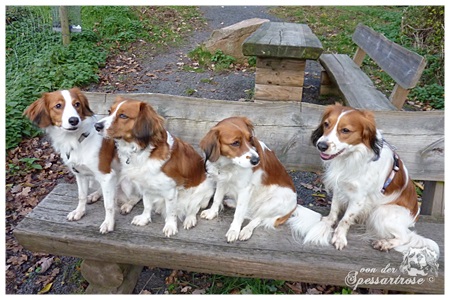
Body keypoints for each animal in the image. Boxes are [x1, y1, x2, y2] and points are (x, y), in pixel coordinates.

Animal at [22, 88, 121, 233]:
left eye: (77, 104)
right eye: (58, 106)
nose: (74, 120)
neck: (76, 140)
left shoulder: (106, 175)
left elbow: (108, 205)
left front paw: (108, 222)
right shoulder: (80, 174)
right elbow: (81, 196)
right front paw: (79, 212)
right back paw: (95, 194)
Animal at [94, 96, 214, 237]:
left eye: (123, 116)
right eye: (109, 111)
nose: (96, 126)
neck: (142, 151)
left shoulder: (171, 189)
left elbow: (171, 211)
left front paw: (170, 226)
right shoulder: (146, 185)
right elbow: (147, 204)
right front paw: (144, 219)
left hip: (203, 191)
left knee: (193, 208)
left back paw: (189, 220)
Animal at [288, 103, 440, 255]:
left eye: (345, 130)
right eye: (326, 124)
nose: (321, 145)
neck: (352, 156)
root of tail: (413, 217)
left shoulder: (358, 197)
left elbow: (345, 220)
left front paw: (339, 237)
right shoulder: (339, 188)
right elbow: (334, 210)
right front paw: (327, 223)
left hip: (381, 213)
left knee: (405, 237)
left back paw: (385, 243)